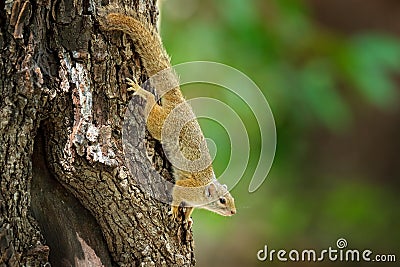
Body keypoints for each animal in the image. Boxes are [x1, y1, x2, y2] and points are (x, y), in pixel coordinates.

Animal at [99, 7, 236, 224]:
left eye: (232, 199)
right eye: (222, 200)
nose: (233, 211)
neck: (202, 194)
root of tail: (180, 103)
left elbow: (189, 208)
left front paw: (187, 217)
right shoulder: (185, 188)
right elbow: (176, 196)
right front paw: (173, 210)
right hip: (160, 124)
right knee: (150, 108)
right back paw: (141, 91)